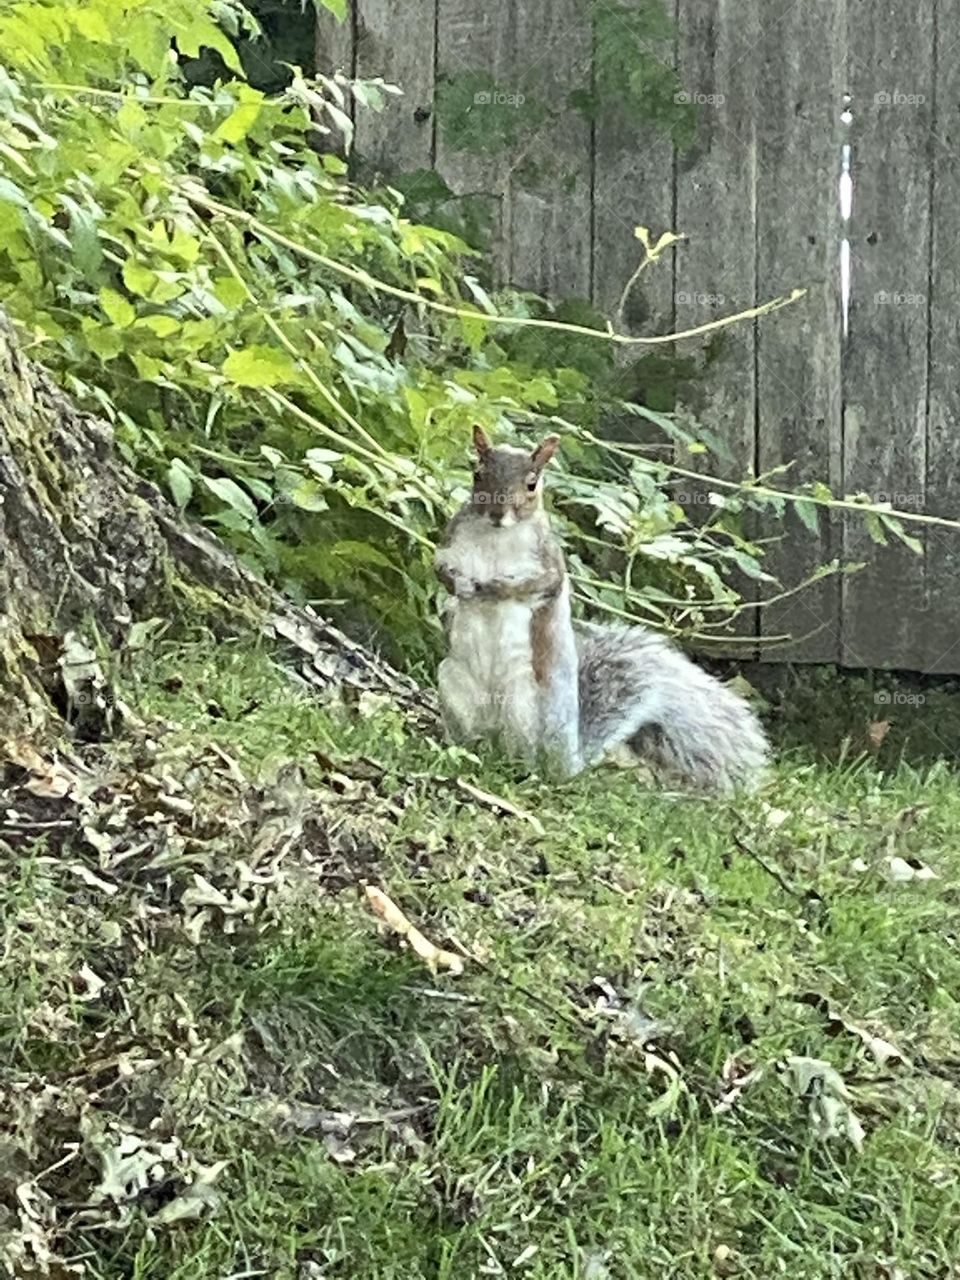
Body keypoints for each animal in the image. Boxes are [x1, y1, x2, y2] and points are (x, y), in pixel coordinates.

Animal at [434, 428, 769, 792]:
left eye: (532, 484)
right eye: (477, 474)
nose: (497, 513)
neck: (497, 536)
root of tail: (569, 760)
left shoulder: (548, 561)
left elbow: (537, 584)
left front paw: (494, 588)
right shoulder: (453, 540)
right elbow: (440, 570)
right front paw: (457, 586)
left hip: (524, 703)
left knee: (525, 754)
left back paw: (521, 769)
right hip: (451, 684)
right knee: (475, 738)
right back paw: (466, 749)